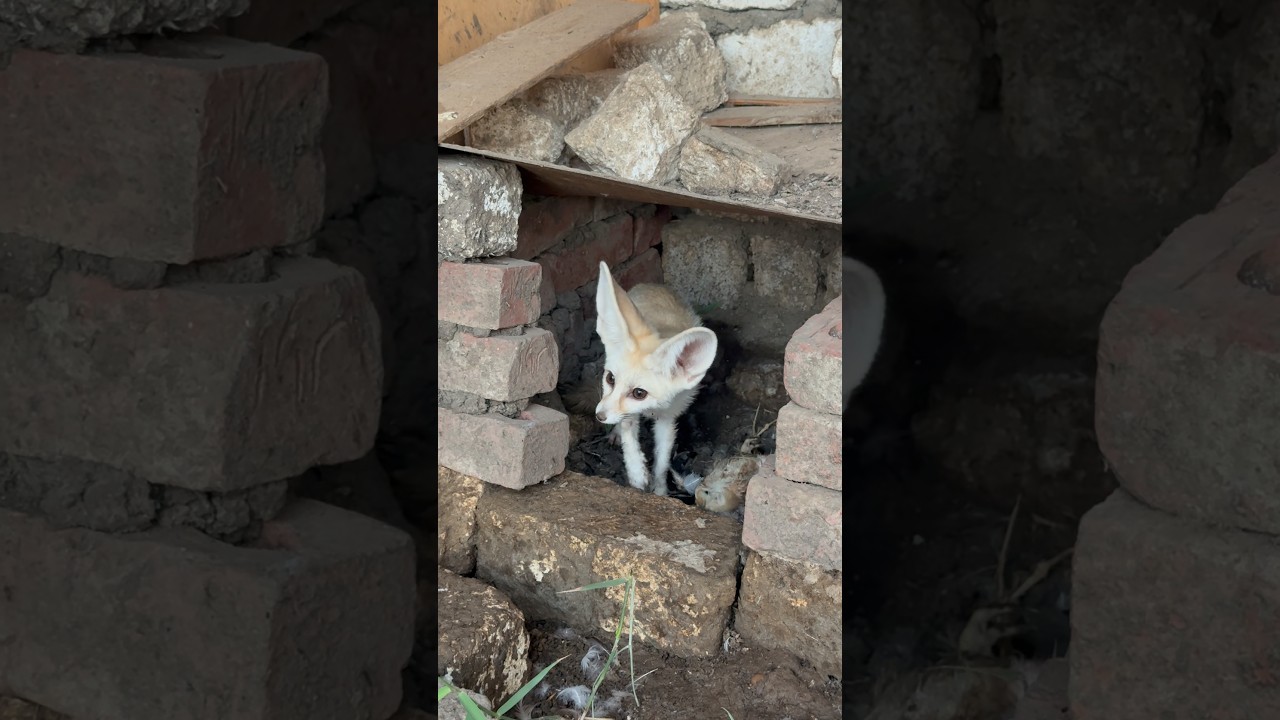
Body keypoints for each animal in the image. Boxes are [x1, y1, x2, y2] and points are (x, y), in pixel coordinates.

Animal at [592, 261, 718, 496]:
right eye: (610, 378)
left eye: (639, 393)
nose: (600, 416)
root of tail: (654, 284)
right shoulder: (626, 412)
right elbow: (629, 436)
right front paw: (636, 474)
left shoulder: (668, 417)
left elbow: (662, 461)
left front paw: (660, 492)